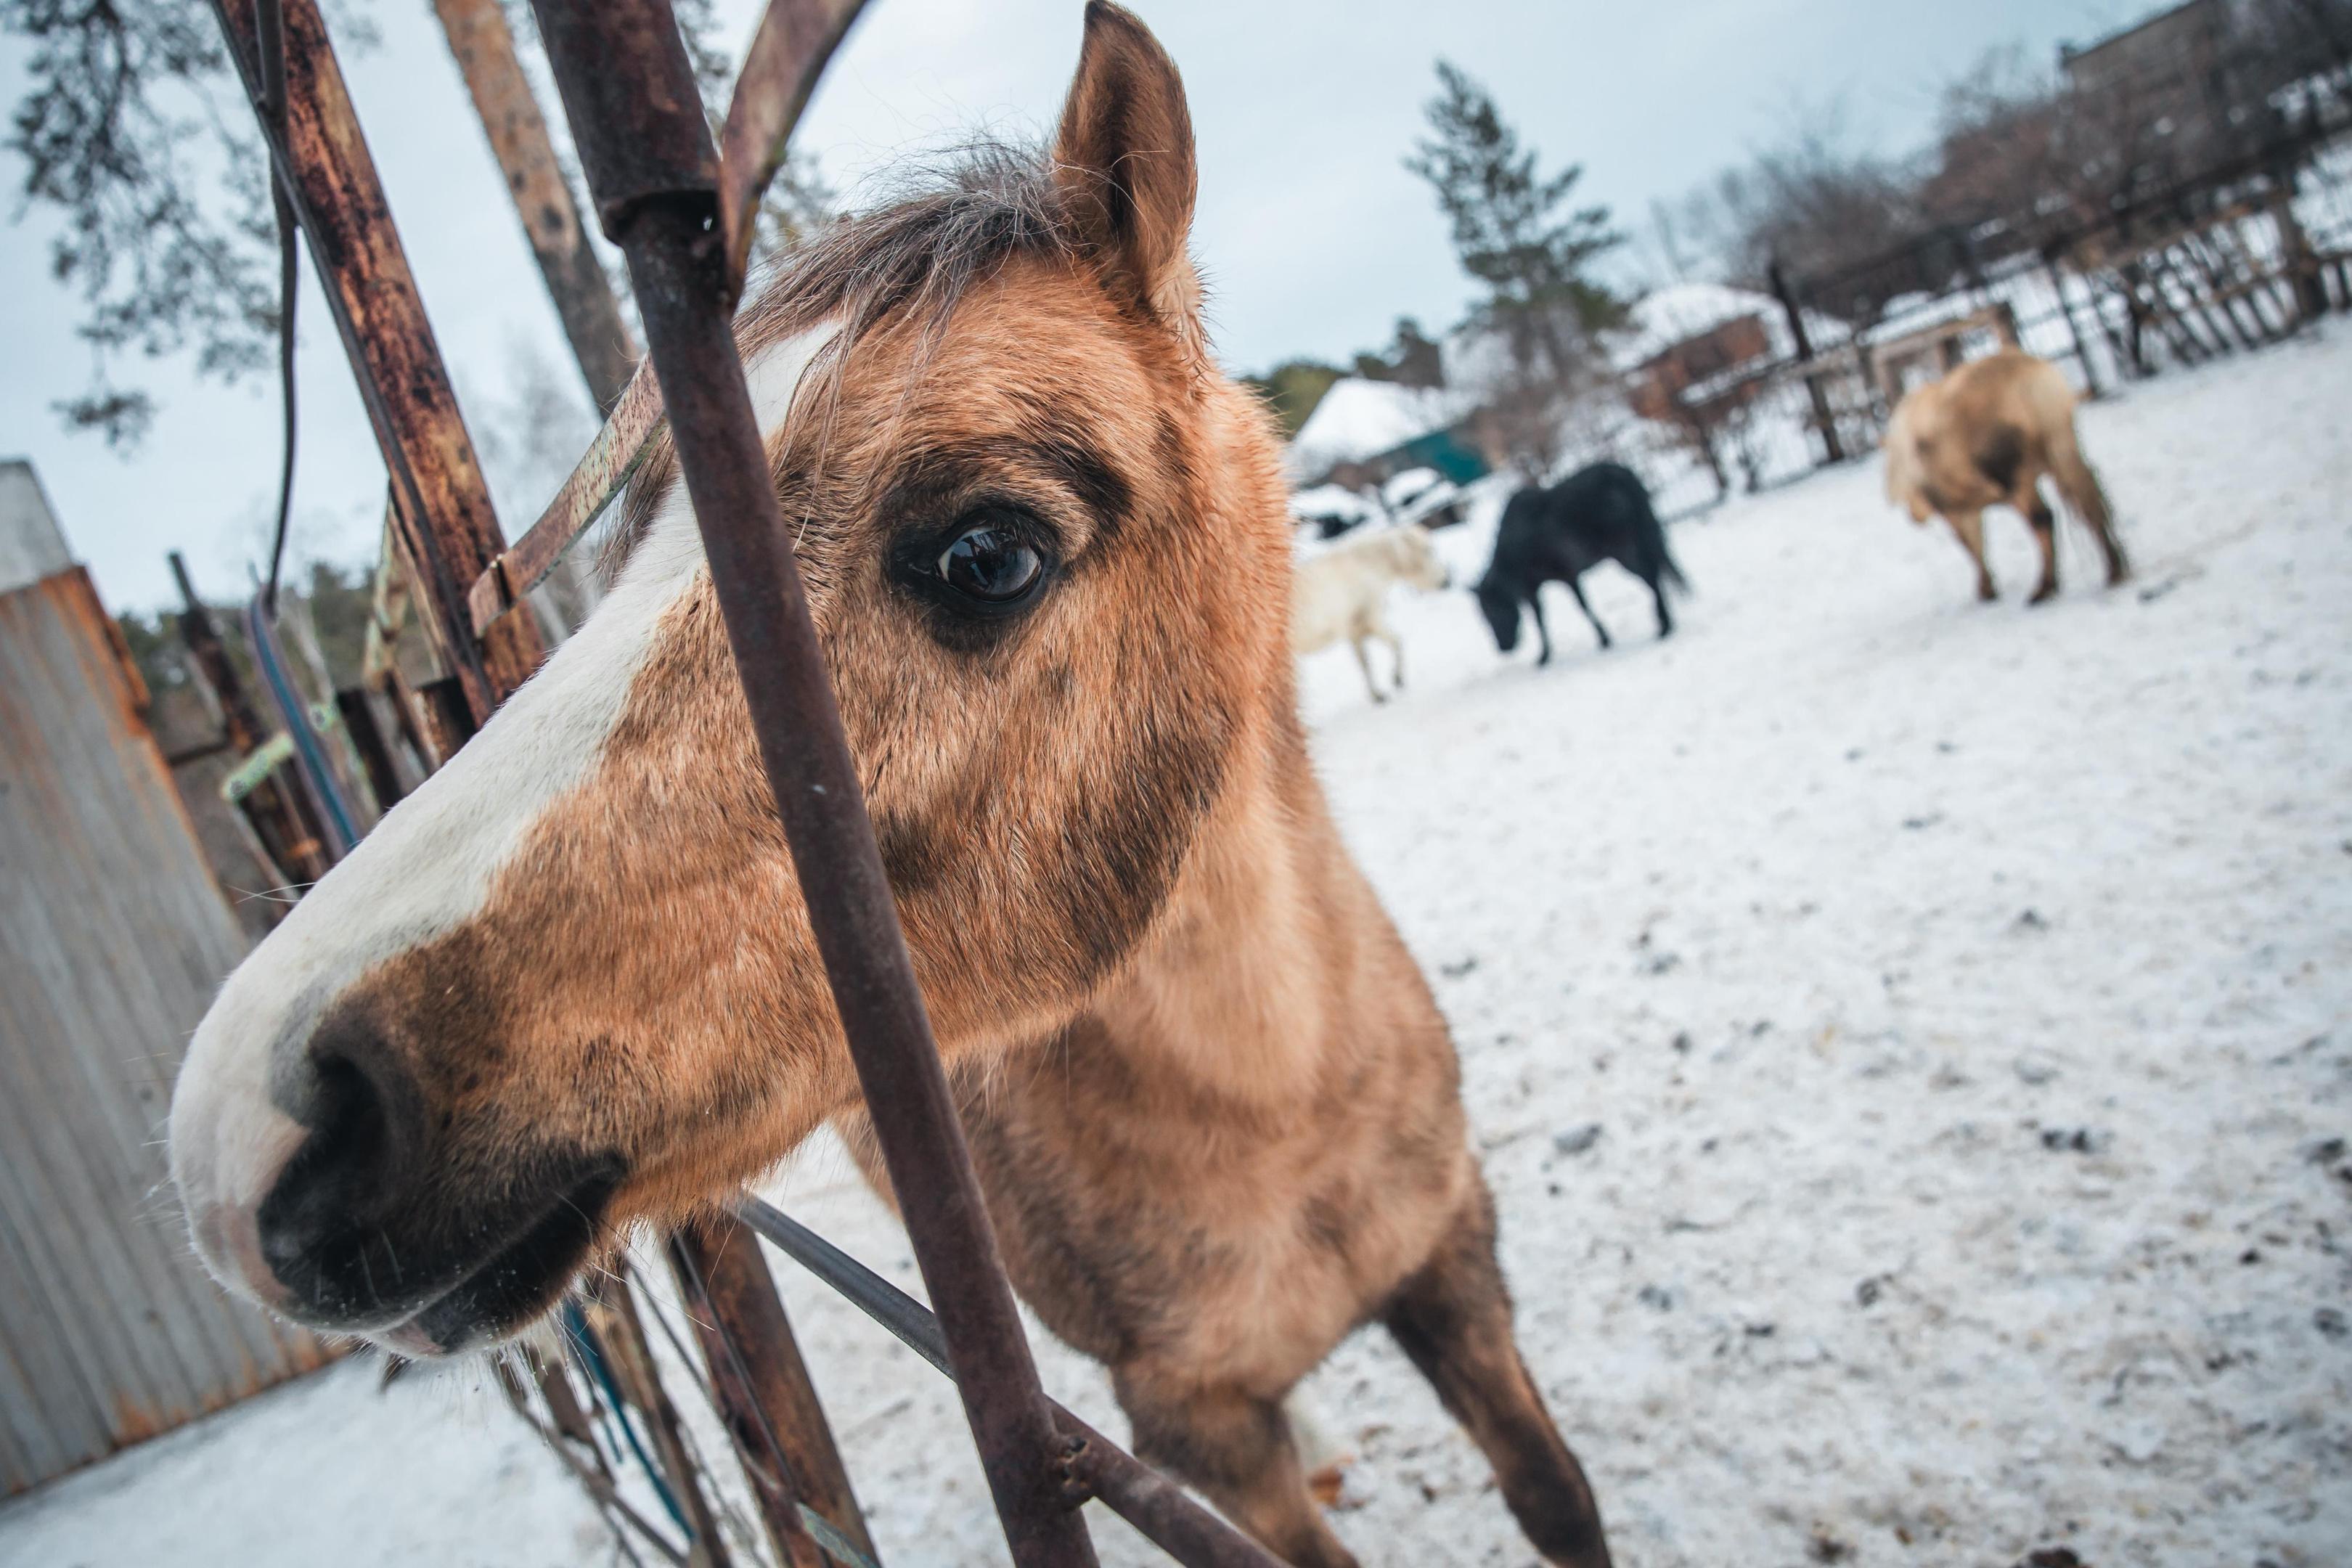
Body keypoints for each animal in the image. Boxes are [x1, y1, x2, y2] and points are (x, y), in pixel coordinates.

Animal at [160, 6, 1599, 1561]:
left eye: (986, 553)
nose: (261, 1122)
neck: (1282, 1101)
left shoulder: (1459, 1268)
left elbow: (1557, 1500)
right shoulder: (1196, 1428)